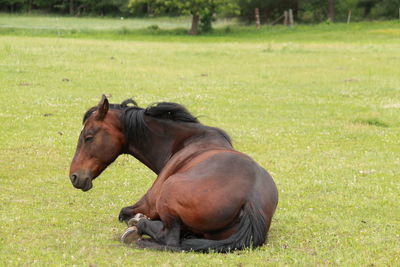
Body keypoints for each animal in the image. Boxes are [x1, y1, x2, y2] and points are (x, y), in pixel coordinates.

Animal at [69, 96, 278, 253]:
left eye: (88, 137)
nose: (74, 176)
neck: (185, 141)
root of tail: (251, 201)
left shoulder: (148, 203)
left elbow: (124, 213)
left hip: (167, 194)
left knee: (169, 240)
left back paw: (139, 230)